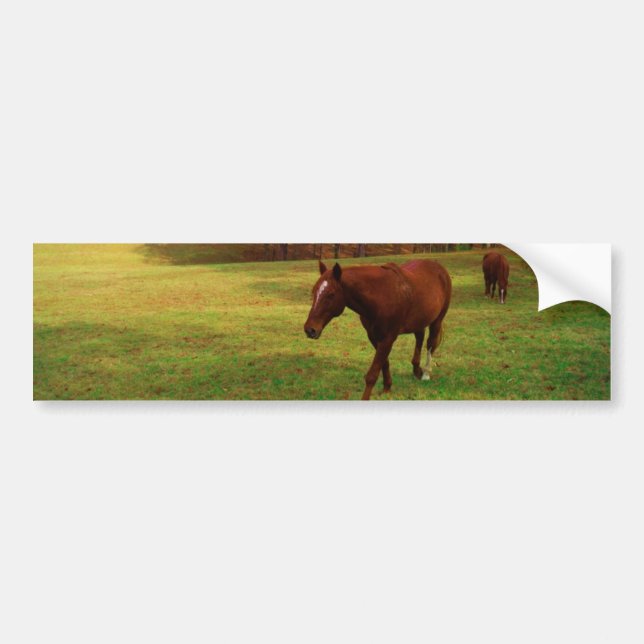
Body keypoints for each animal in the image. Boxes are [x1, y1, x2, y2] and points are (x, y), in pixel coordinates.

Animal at [304, 259, 452, 400]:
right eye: (314, 291)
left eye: (331, 294)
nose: (310, 330)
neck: (380, 295)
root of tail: (440, 269)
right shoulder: (373, 336)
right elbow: (384, 364)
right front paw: (387, 387)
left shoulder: (388, 339)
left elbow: (372, 374)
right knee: (419, 337)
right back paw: (416, 370)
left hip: (437, 320)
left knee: (430, 343)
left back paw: (426, 373)